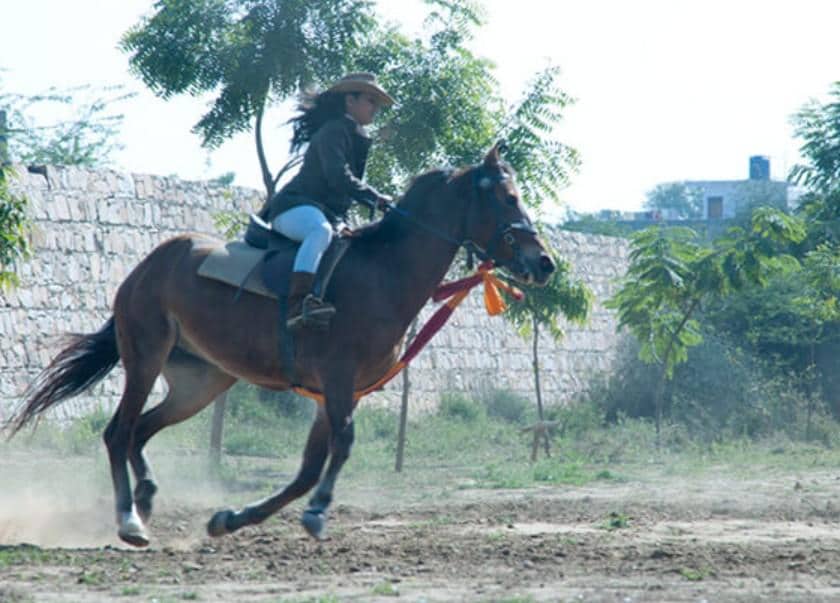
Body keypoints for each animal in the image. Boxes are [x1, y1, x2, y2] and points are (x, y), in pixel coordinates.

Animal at [9, 142, 556, 548]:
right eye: (508, 197)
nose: (544, 262)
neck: (383, 271)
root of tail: (150, 264)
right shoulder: (337, 383)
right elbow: (341, 447)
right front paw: (316, 513)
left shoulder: (338, 393)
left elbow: (307, 470)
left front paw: (232, 518)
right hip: (145, 357)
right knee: (119, 432)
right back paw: (129, 520)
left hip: (200, 382)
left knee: (141, 431)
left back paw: (146, 496)